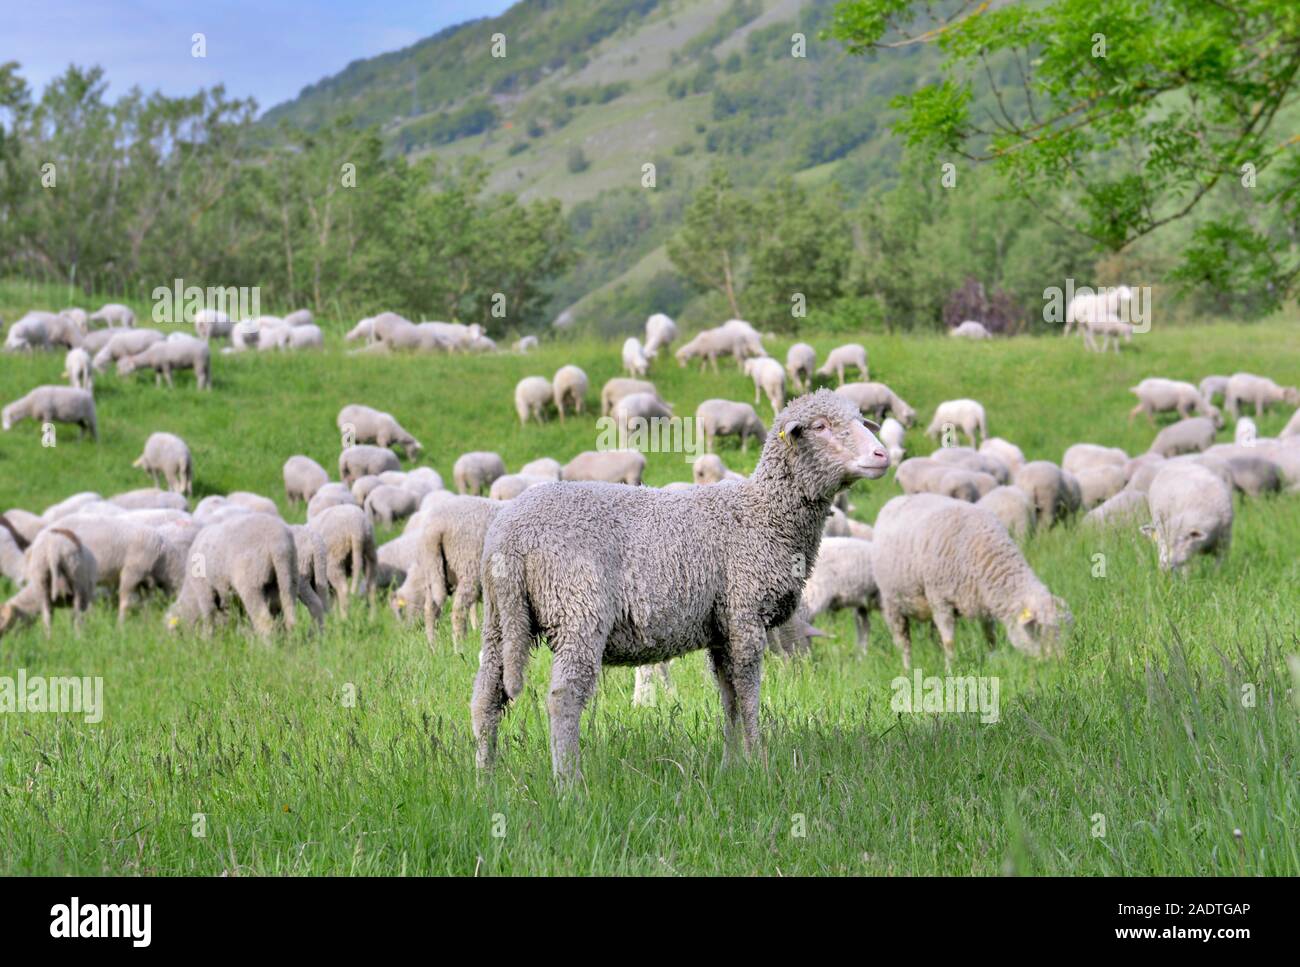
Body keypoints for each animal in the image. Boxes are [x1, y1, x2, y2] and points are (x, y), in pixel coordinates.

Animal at [393, 496, 502, 648]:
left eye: (401, 611)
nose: (407, 630)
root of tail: (435, 527)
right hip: (468, 566)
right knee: (458, 610)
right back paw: (460, 647)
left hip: (434, 570)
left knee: (430, 609)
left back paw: (434, 647)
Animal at [470, 388, 891, 779]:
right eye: (820, 426)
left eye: (860, 419)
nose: (881, 455)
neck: (763, 514)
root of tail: (510, 537)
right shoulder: (745, 615)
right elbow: (749, 695)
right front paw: (758, 762)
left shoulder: (722, 629)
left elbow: (729, 697)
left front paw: (730, 765)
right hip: (578, 609)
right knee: (562, 698)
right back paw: (568, 782)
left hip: (501, 620)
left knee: (485, 698)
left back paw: (486, 778)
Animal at [873, 494, 1071, 669]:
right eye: (1039, 628)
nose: (1060, 662)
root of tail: (896, 500)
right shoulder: (940, 600)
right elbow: (949, 641)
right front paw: (950, 670)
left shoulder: (983, 601)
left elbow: (990, 637)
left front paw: (993, 661)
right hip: (893, 604)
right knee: (904, 643)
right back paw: (907, 669)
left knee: (933, 636)